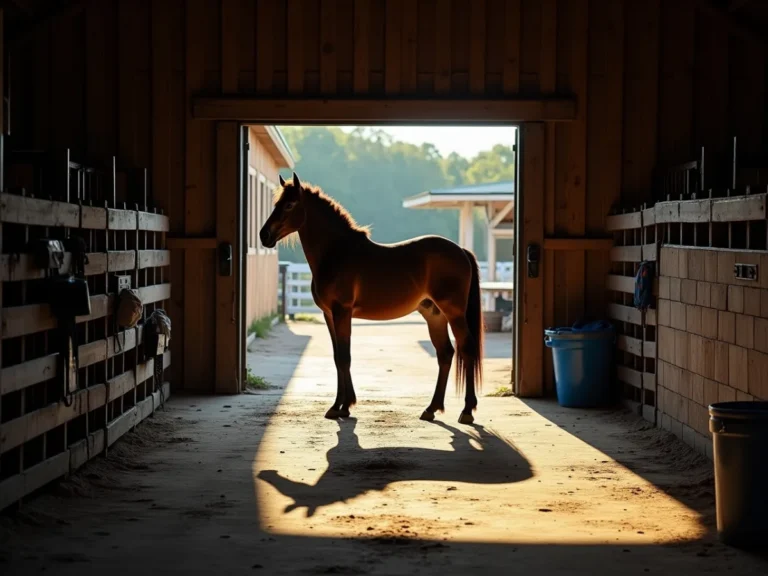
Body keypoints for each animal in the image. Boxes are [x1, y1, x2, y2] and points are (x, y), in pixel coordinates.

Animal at [260, 172, 484, 425]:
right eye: (276, 204)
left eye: (289, 205)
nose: (264, 235)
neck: (336, 253)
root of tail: (461, 251)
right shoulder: (329, 315)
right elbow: (337, 357)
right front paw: (340, 406)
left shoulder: (342, 312)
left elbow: (344, 357)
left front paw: (342, 405)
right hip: (434, 315)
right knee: (445, 354)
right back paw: (431, 409)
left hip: (454, 313)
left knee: (467, 349)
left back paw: (467, 411)